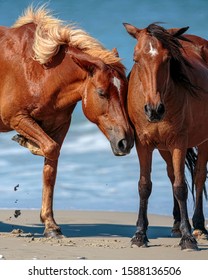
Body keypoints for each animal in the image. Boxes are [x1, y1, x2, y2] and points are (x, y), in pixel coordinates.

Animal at [0, 6, 134, 237]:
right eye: (102, 93)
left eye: (124, 92)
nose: (124, 143)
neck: (39, 71)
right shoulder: (16, 117)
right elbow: (50, 148)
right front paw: (26, 142)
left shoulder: (60, 125)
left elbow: (51, 166)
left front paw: (50, 224)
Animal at [123, 21, 208, 249]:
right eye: (135, 59)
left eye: (168, 59)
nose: (154, 110)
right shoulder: (144, 144)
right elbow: (145, 185)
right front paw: (140, 234)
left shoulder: (179, 141)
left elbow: (181, 187)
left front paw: (187, 238)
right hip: (163, 148)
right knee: (172, 174)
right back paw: (177, 223)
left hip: (203, 141)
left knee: (198, 176)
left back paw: (199, 227)